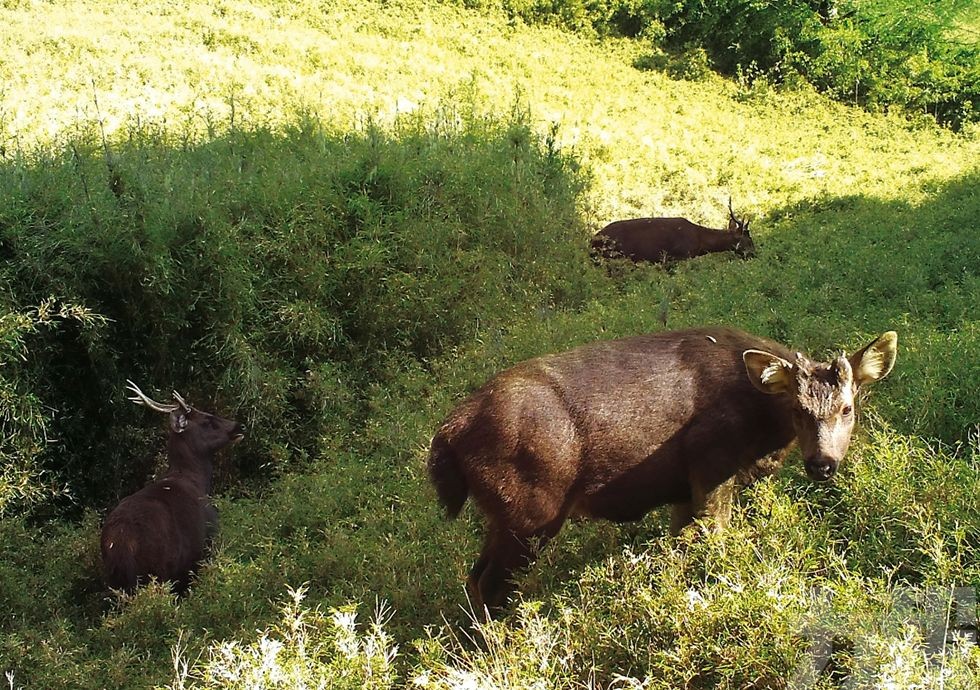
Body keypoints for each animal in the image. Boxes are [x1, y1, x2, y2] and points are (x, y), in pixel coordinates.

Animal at [100, 378, 245, 588]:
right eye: (208, 421)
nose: (239, 426)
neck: (198, 481)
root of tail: (120, 542)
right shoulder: (207, 542)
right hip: (160, 571)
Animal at [426, 326, 896, 612]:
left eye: (848, 408)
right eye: (798, 410)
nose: (822, 464)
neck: (762, 427)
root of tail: (448, 433)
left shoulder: (681, 489)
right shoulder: (710, 460)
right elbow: (715, 540)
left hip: (504, 516)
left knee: (474, 579)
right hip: (531, 511)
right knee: (490, 585)